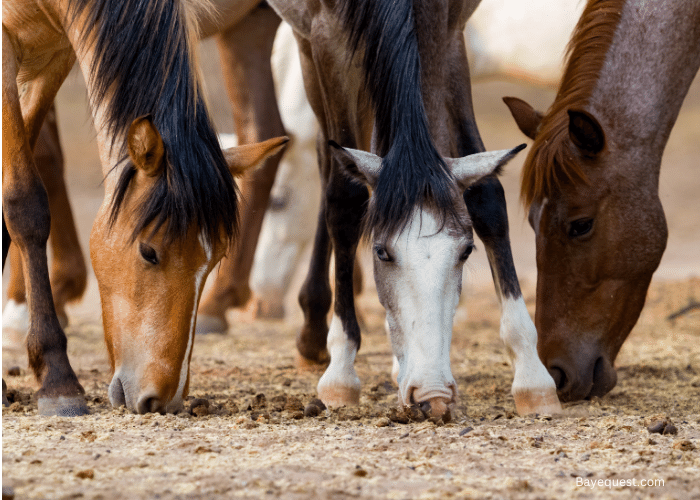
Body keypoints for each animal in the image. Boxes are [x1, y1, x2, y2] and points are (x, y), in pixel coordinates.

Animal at [2, 0, 287, 415]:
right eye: (149, 252)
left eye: (214, 261)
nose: (162, 399)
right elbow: (24, 201)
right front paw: (57, 378)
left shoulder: (53, 53)